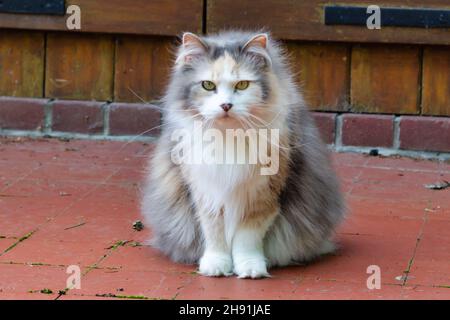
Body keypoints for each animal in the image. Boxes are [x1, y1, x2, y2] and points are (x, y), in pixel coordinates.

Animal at [142, 31, 344, 278]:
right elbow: (215, 234)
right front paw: (216, 266)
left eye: (242, 85)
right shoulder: (207, 193)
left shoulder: (262, 195)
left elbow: (247, 239)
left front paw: (250, 268)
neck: (229, 138)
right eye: (208, 85)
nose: (226, 105)